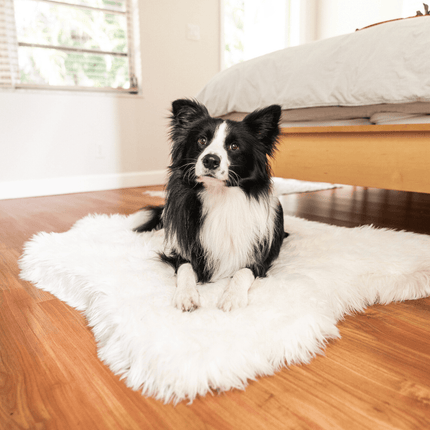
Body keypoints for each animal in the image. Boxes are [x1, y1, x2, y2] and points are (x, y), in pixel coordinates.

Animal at [136, 101, 288, 314]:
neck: (219, 196)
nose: (210, 160)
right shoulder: (183, 252)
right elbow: (185, 269)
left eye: (234, 146)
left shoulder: (260, 259)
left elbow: (242, 272)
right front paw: (186, 295)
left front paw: (232, 297)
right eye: (202, 140)